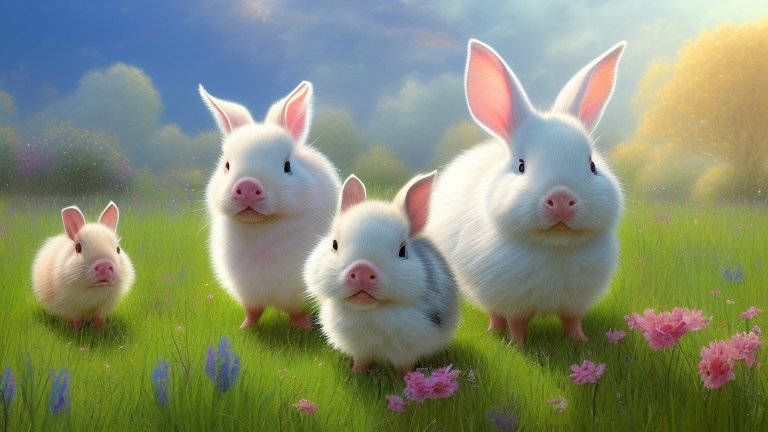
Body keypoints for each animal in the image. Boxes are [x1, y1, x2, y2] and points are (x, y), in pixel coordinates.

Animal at [32, 202, 135, 331]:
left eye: (118, 249)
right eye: (78, 248)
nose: (104, 265)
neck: (94, 289)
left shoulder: (103, 308)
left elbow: (99, 320)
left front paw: (101, 332)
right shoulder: (70, 308)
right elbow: (76, 321)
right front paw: (77, 332)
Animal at [199, 81, 341, 330]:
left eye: (287, 166)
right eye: (226, 165)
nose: (247, 187)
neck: (262, 227)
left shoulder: (296, 292)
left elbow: (298, 312)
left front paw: (303, 329)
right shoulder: (248, 290)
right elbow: (253, 311)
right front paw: (245, 328)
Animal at [304, 172, 459, 373]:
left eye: (402, 251)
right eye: (334, 244)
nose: (362, 271)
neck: (370, 312)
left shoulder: (409, 350)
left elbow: (406, 365)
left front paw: (405, 377)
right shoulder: (359, 349)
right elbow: (361, 360)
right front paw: (357, 373)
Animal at [426, 39, 626, 344]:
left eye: (592, 165)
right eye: (521, 166)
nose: (561, 199)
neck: (555, 246)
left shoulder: (575, 303)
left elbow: (572, 321)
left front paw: (581, 341)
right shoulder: (512, 301)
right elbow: (517, 322)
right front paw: (518, 345)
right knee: (495, 314)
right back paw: (494, 331)